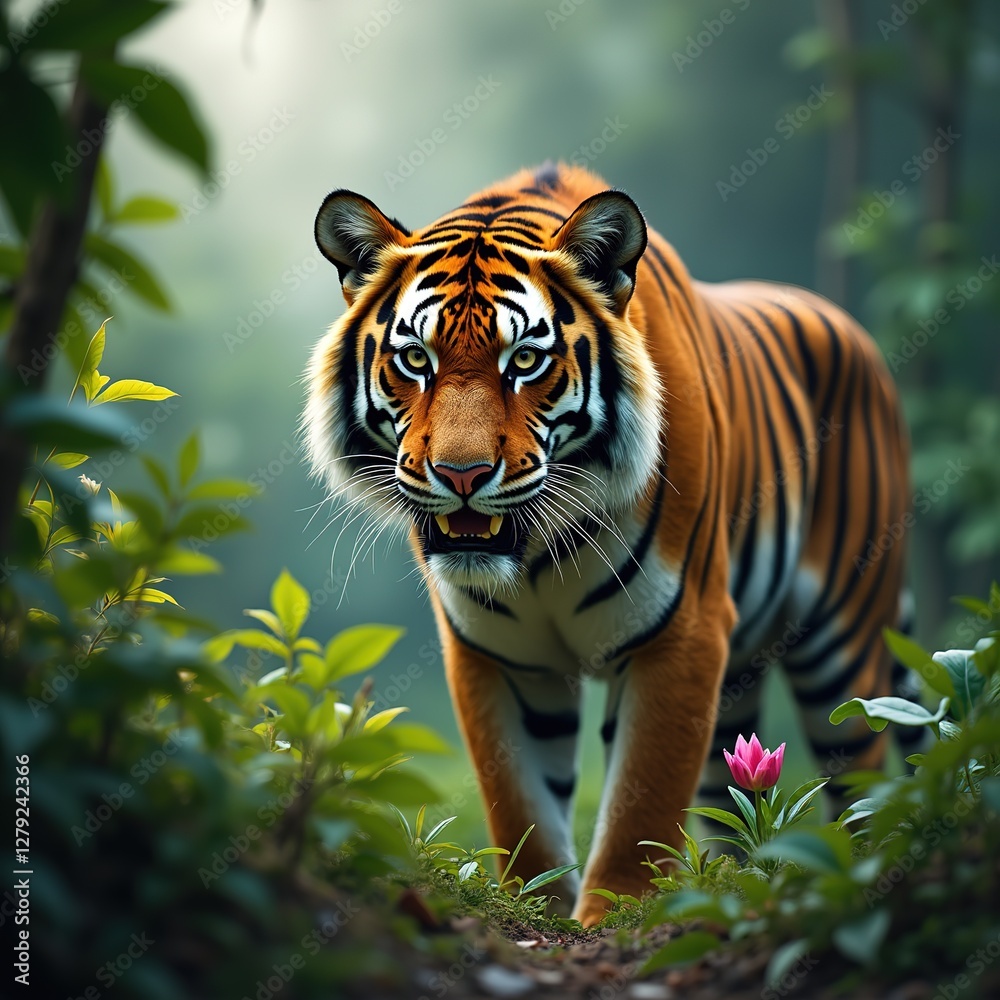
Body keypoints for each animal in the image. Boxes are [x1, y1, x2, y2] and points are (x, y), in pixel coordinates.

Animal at [303, 162, 914, 927]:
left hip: (846, 650)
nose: (462, 473)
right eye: (415, 358)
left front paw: (617, 911)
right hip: (738, 685)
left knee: (860, 783)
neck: (535, 554)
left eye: (525, 361)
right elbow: (520, 803)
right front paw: (534, 906)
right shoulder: (496, 656)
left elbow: (642, 799)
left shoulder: (682, 629)